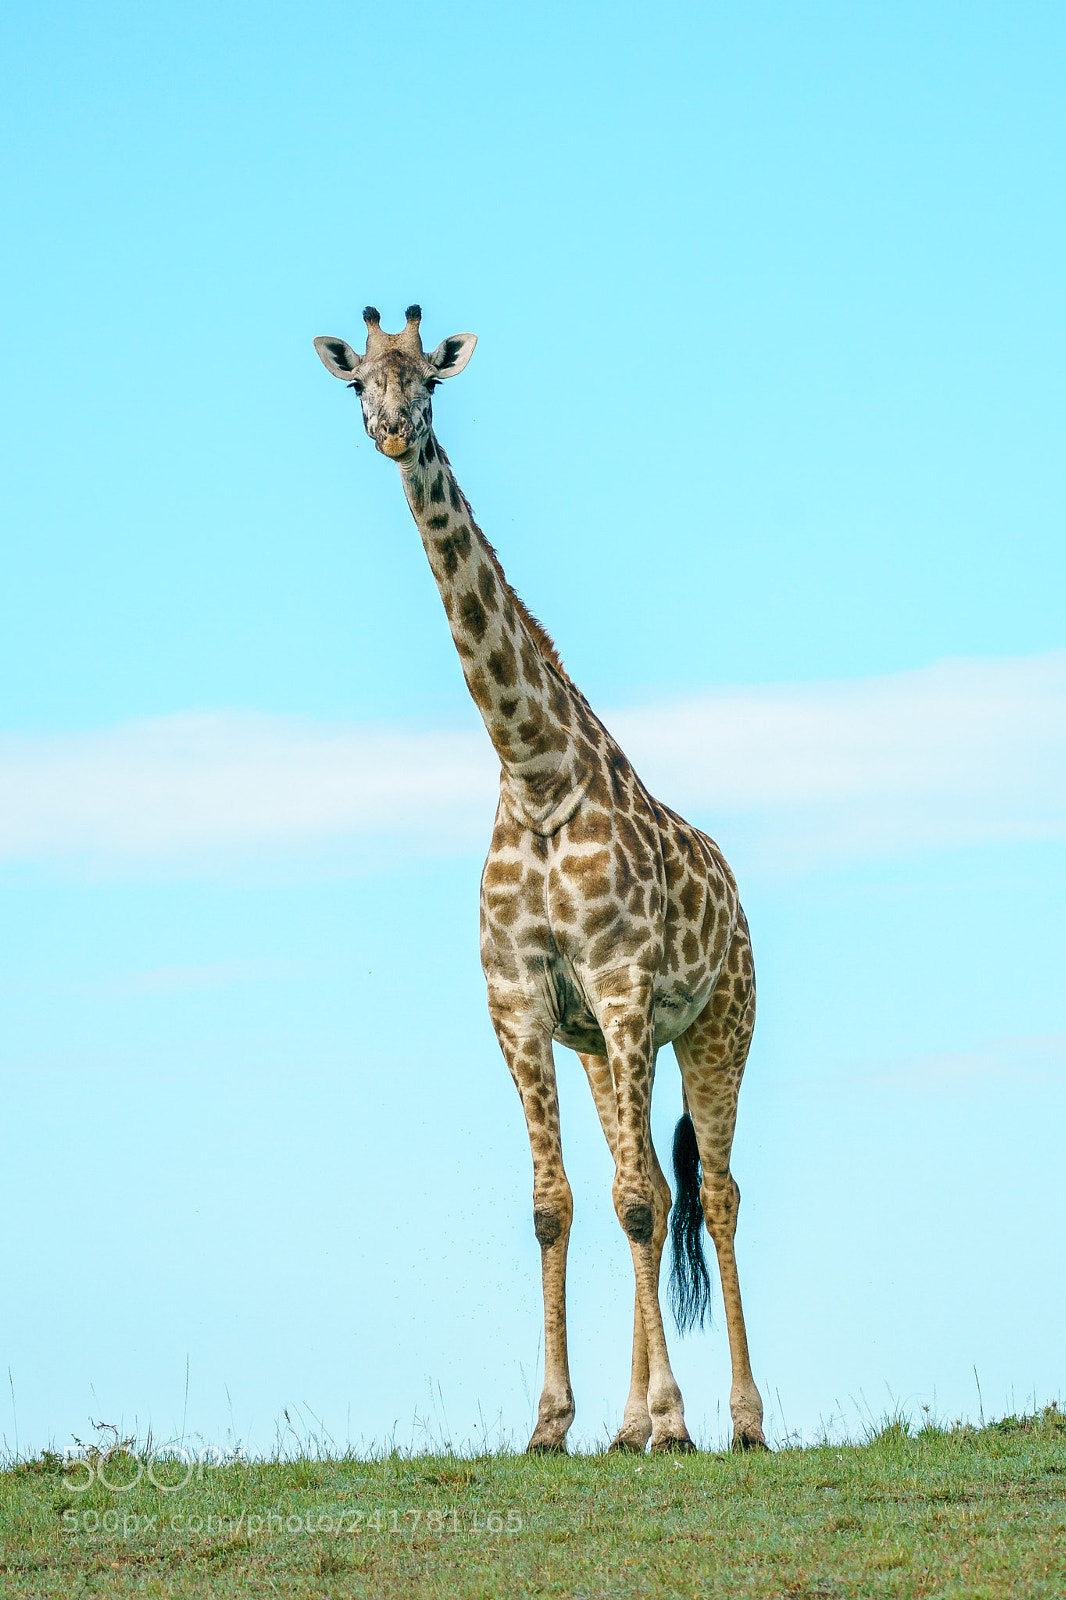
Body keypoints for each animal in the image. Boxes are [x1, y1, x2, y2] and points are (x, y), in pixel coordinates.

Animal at [314, 306, 767, 1454]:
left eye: (430, 379)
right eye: (359, 384)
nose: (392, 429)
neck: (536, 773)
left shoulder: (620, 987)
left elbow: (643, 1201)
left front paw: (675, 1424)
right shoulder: (522, 1002)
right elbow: (557, 1205)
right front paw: (555, 1421)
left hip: (716, 1024)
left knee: (715, 1192)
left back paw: (740, 1421)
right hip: (614, 1047)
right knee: (640, 1182)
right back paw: (633, 1420)